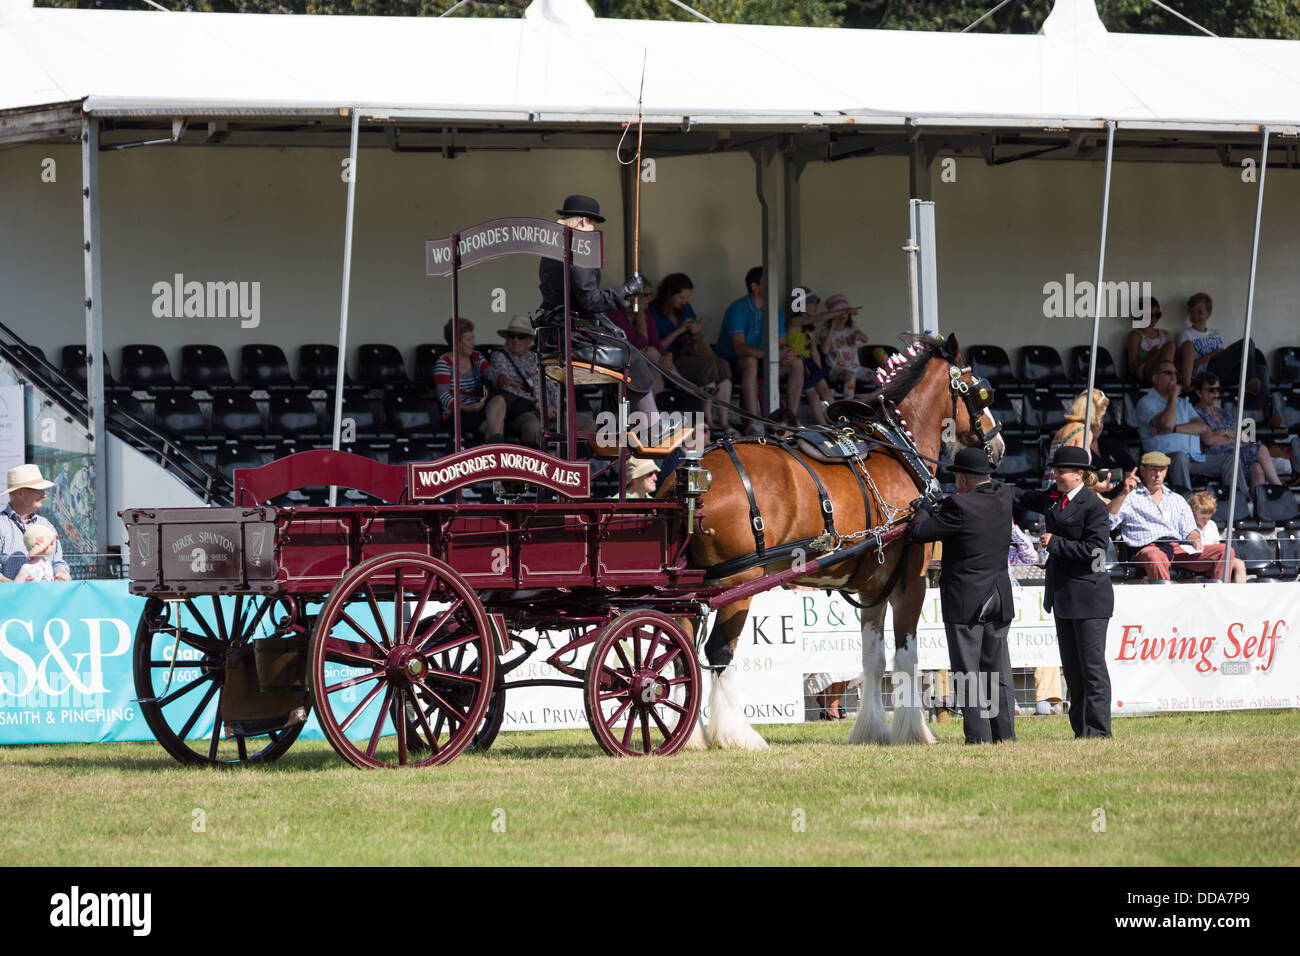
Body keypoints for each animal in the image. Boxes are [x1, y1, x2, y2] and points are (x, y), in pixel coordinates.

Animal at [691, 335, 1003, 749]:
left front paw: (871, 729)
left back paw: (690, 735)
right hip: (737, 584)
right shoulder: (911, 581)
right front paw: (915, 730)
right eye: (981, 393)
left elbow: (873, 659)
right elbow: (907, 657)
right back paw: (738, 735)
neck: (897, 447)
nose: (999, 446)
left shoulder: (874, 586)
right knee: (718, 651)